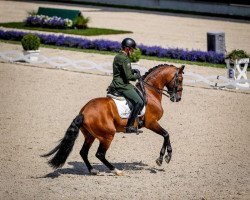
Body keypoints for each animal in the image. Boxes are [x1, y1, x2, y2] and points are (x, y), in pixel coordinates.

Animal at [42, 63, 185, 175]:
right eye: (180, 79)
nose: (178, 98)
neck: (150, 92)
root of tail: (83, 112)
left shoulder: (152, 123)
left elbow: (166, 135)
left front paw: (162, 158)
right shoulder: (151, 123)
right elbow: (166, 134)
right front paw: (165, 157)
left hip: (90, 135)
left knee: (83, 152)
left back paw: (93, 170)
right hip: (108, 135)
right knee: (99, 154)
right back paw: (116, 170)